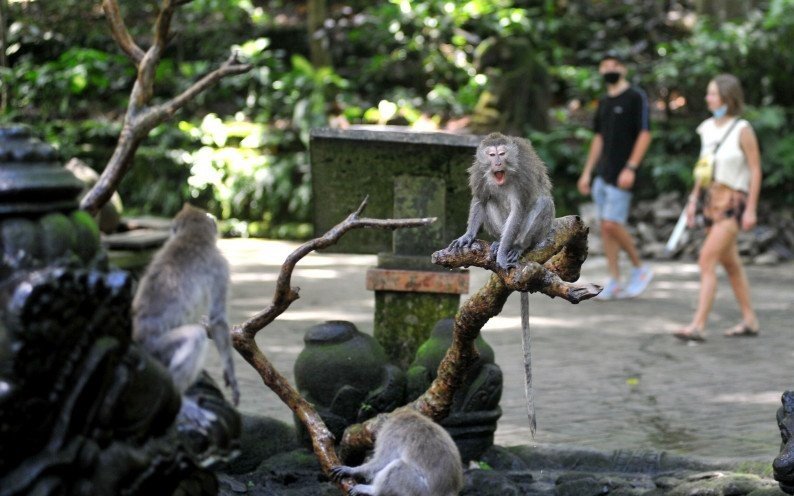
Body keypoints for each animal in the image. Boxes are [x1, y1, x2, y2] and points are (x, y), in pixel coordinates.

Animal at [132, 203, 238, 424]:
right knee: (195, 336)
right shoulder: (220, 265)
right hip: (157, 350)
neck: (192, 236)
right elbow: (217, 319)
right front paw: (230, 373)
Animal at [330, 408, 464, 496]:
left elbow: (383, 461)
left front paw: (352, 470)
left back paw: (374, 491)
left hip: (418, 491)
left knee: (398, 466)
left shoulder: (391, 433)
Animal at [448, 131, 552, 434]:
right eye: (491, 155)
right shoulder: (480, 174)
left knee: (540, 203)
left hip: (541, 229)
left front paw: (507, 251)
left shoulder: (523, 176)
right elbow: (480, 199)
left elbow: (520, 208)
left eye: (502, 154)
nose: (497, 163)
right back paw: (495, 244)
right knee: (490, 202)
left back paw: (515, 247)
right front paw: (469, 236)